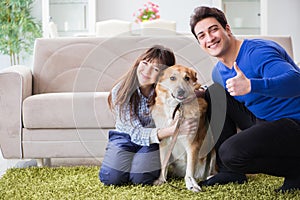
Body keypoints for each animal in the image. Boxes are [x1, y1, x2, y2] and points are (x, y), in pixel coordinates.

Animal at [152, 64, 216, 192]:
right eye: (172, 78)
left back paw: (209, 177)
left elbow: (190, 170)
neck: (177, 107)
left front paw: (191, 185)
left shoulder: (193, 144)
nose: (181, 91)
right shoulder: (164, 142)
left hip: (212, 152)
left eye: (187, 78)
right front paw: (161, 180)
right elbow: (163, 164)